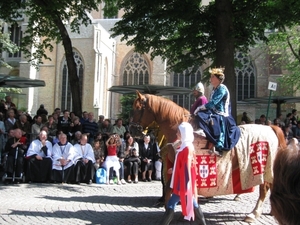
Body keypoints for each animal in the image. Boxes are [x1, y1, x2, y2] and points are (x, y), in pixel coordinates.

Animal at [131, 90, 286, 222]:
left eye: (137, 108)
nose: (132, 130)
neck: (178, 130)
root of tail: (271, 128)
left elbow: (172, 187)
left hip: (262, 167)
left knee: (264, 188)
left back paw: (254, 214)